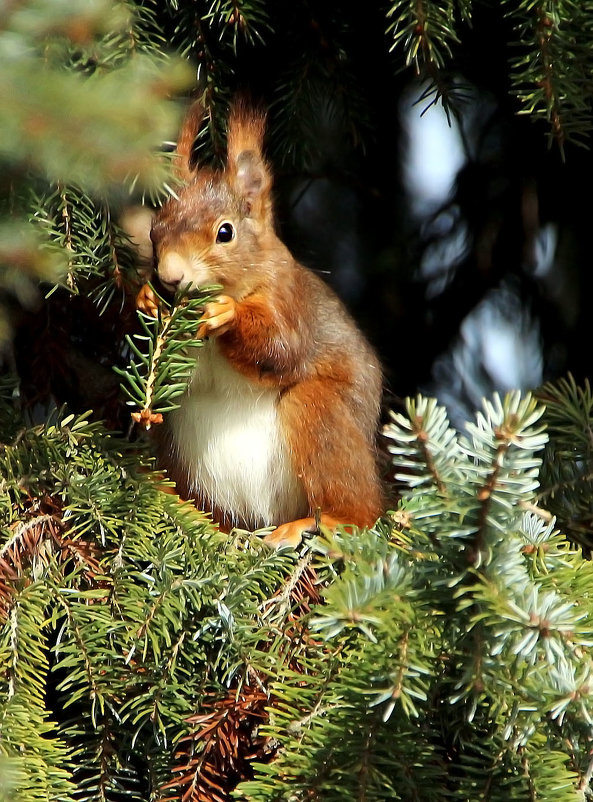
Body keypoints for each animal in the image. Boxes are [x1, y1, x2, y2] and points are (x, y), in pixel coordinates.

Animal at [136, 100, 382, 548]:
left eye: (225, 232)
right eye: (153, 230)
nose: (170, 277)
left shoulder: (289, 300)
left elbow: (281, 350)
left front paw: (225, 314)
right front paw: (146, 297)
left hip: (319, 412)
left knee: (362, 513)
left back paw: (319, 523)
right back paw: (185, 509)